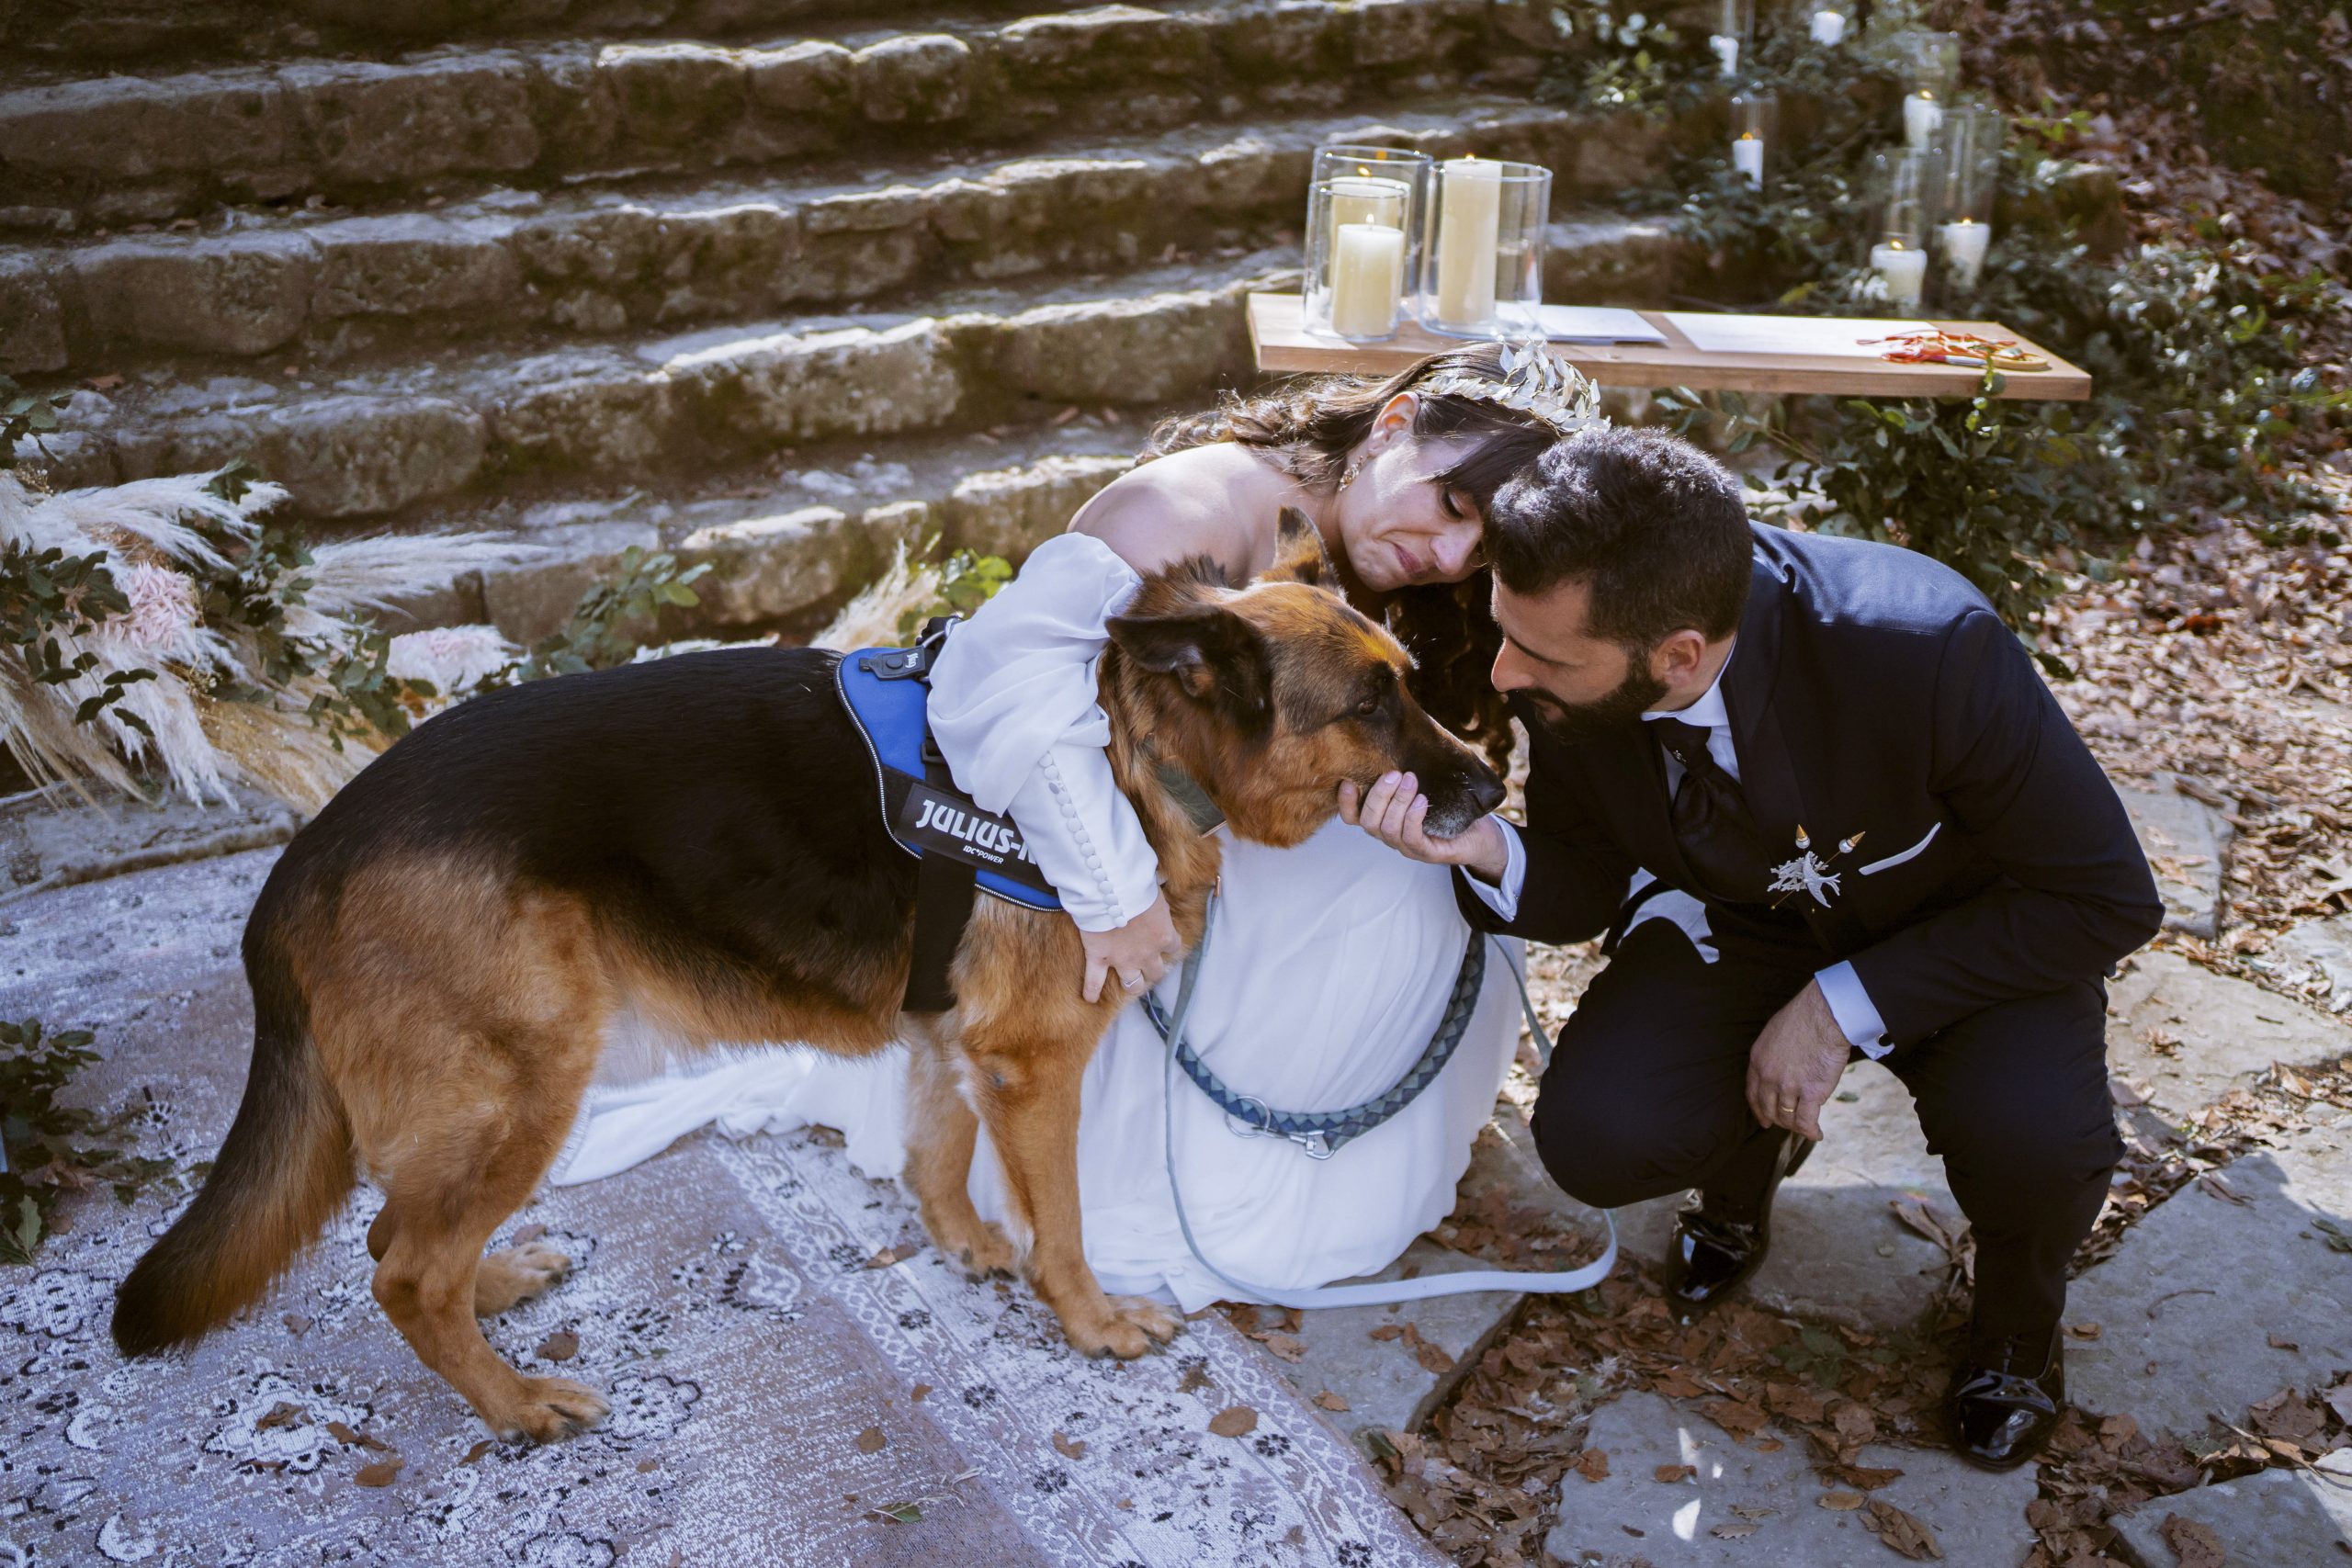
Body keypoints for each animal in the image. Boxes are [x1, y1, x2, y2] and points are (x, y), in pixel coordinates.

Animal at [111, 507, 1506, 1442]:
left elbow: (941, 1154)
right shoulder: (1035, 1065)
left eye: (1411, 683)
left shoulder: (949, 1039)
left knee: (399, 1231)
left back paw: (499, 1282)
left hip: (478, 1101)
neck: (1123, 744)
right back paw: (513, 1402)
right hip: (528, 1079)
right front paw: (1090, 1320)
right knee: (402, 1264)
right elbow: (1060, 1218)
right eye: (1371, 708)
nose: (1497, 790)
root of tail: (308, 849)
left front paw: (964, 1247)